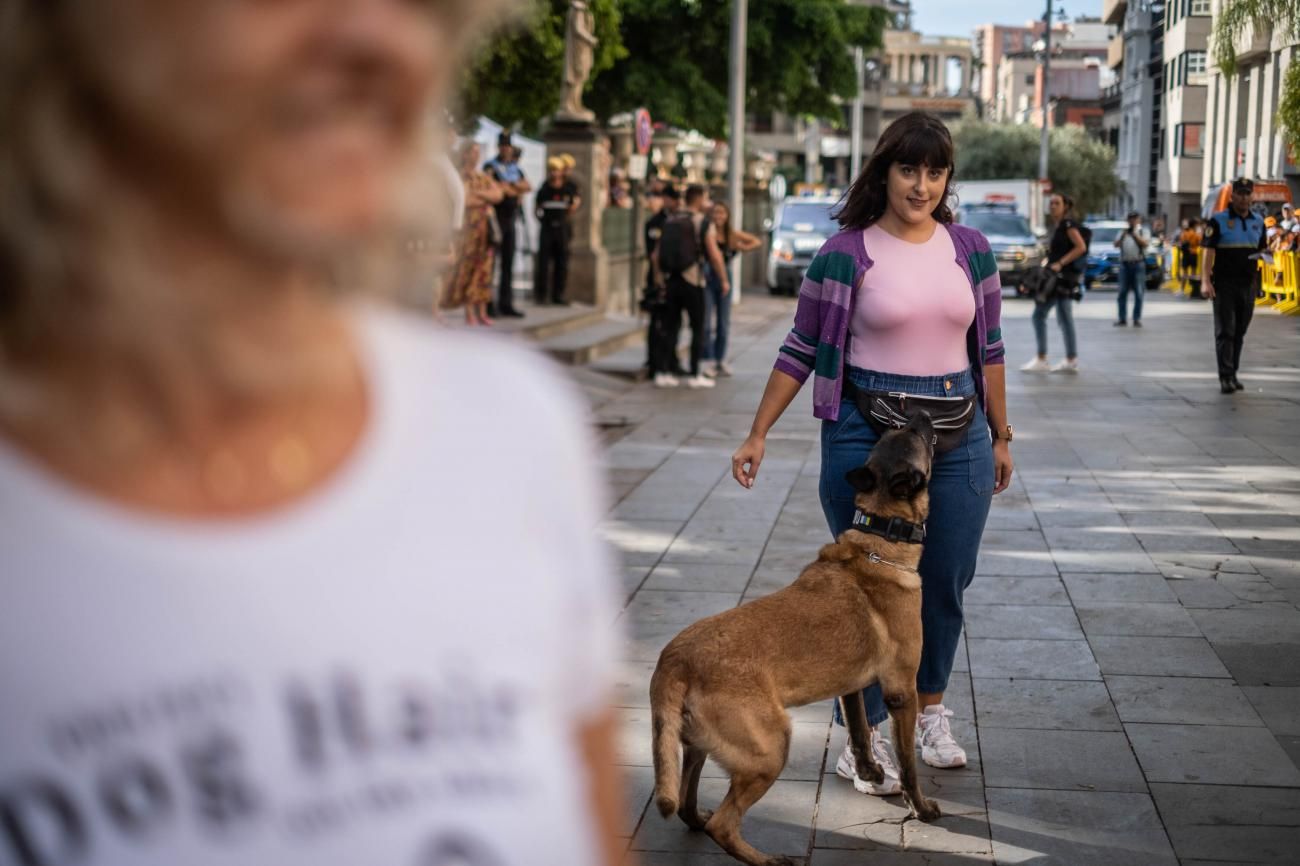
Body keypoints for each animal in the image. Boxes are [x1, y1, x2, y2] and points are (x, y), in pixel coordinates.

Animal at [647, 416, 935, 858]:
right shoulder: (902, 691)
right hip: (771, 747)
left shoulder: (850, 687)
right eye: (915, 435)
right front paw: (920, 808)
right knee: (723, 826)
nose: (921, 413)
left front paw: (869, 771)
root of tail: (673, 661)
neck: (881, 538)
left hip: (698, 746)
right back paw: (769, 860)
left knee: (687, 804)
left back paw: (702, 820)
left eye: (900, 432)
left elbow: (858, 730)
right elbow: (908, 765)